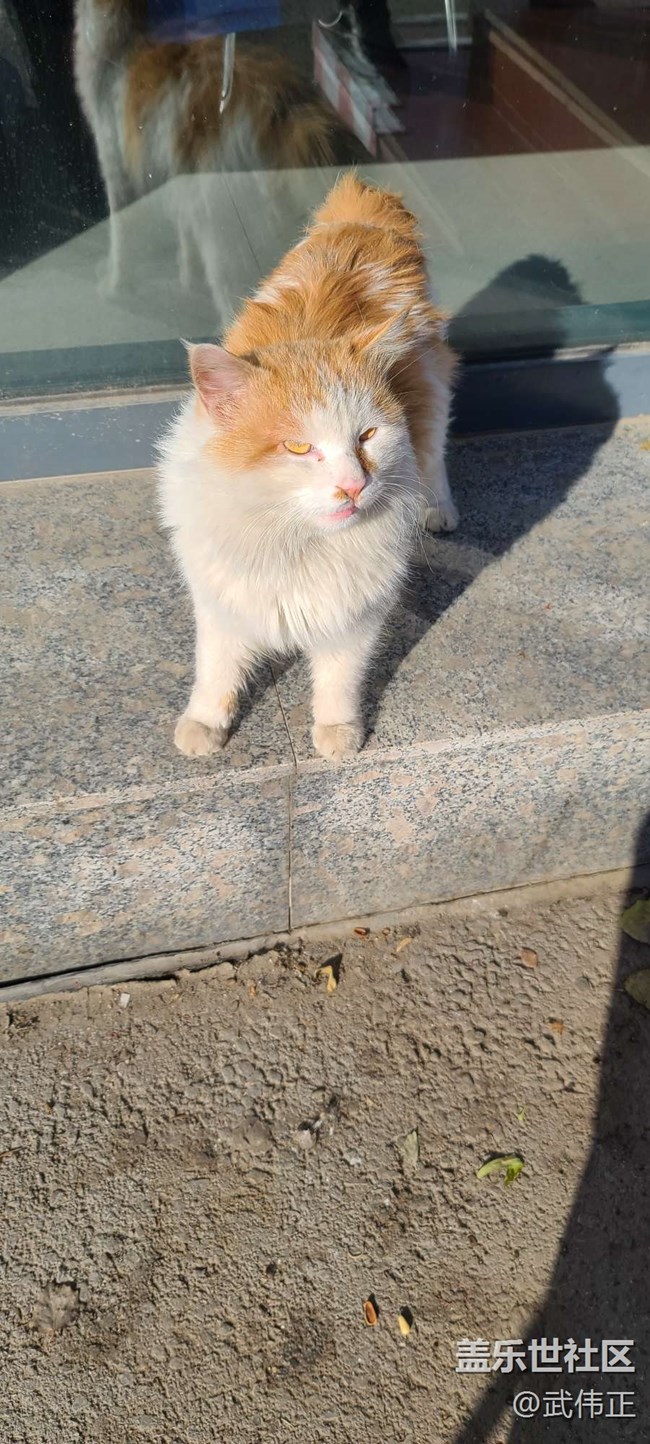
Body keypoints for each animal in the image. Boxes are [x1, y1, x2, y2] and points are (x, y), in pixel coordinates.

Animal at [158, 172, 458, 763]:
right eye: (298, 449)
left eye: (366, 436)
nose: (354, 486)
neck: (291, 539)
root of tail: (360, 221)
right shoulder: (222, 601)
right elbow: (216, 670)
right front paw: (204, 726)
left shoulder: (355, 616)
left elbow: (339, 678)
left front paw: (338, 733)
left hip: (432, 403)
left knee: (436, 460)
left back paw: (440, 511)